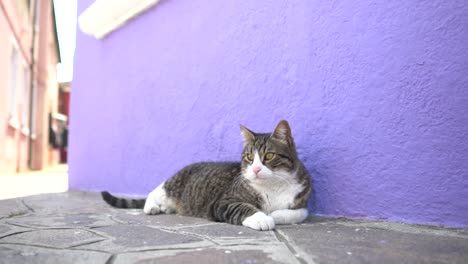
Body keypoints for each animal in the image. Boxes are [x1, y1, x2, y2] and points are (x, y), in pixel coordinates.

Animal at [103, 120, 314, 230]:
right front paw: (261, 218)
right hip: (172, 184)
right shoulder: (222, 202)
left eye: (268, 156)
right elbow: (242, 208)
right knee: (154, 192)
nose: (255, 169)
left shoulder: (302, 200)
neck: (272, 186)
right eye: (249, 157)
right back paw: (152, 207)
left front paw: (275, 215)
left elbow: (299, 213)